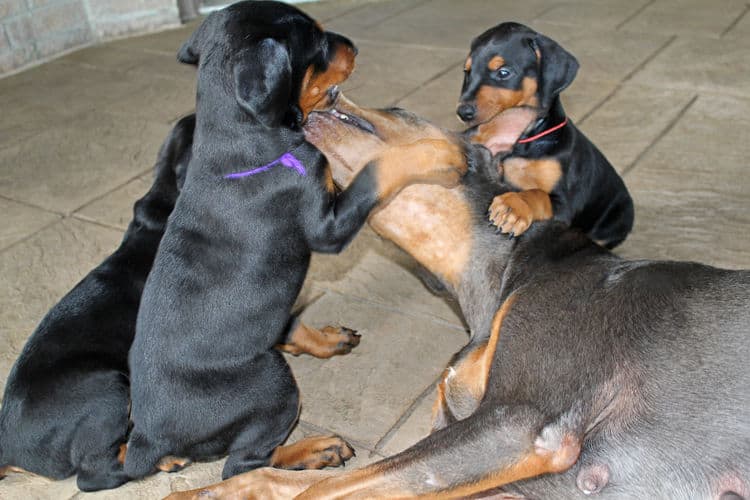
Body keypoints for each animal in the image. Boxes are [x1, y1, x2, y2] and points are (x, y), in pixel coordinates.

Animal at [128, 0, 470, 484]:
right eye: (317, 43)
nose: (354, 46)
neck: (241, 137)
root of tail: (150, 440)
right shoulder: (327, 224)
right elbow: (377, 168)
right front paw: (437, 153)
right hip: (272, 383)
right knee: (242, 464)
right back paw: (317, 449)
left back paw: (327, 340)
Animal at [170, 94, 750, 500]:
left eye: (398, 109)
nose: (322, 95)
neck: (494, 277)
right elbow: (283, 481)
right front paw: (205, 491)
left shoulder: (518, 425)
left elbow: (325, 491)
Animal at [458, 21, 636, 248]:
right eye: (467, 71)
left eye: (503, 72)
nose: (463, 112)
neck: (525, 143)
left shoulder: (564, 205)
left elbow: (537, 194)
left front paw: (513, 207)